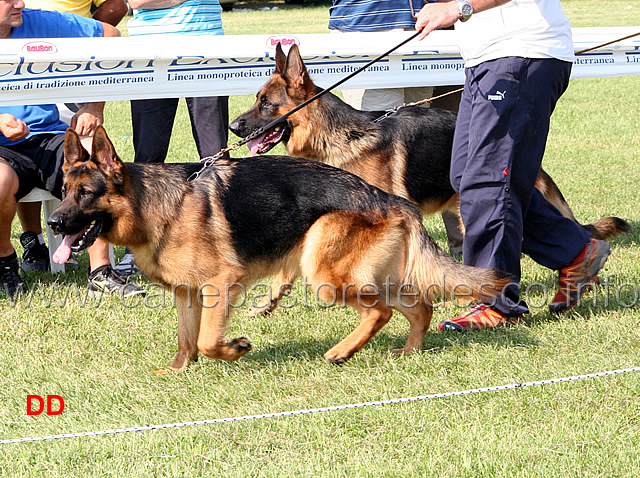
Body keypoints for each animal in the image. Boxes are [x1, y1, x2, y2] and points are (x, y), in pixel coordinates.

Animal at [48, 126, 510, 370]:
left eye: (87, 194)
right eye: (64, 191)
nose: (53, 223)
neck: (156, 205)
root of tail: (388, 199)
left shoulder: (221, 284)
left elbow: (207, 340)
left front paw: (235, 349)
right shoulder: (187, 294)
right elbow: (186, 340)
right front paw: (178, 372)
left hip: (324, 276)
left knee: (379, 312)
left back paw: (341, 351)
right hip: (371, 275)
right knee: (418, 308)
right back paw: (409, 351)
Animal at [230, 43, 632, 316]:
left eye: (266, 104)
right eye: (256, 99)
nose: (234, 126)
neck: (343, 137)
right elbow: (284, 276)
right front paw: (264, 307)